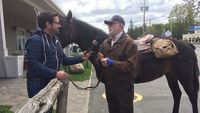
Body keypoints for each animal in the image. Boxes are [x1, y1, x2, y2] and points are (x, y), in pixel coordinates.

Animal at [57, 10, 198, 113]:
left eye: (61, 27)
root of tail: (188, 45)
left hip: (185, 78)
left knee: (192, 97)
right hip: (171, 75)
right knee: (177, 94)